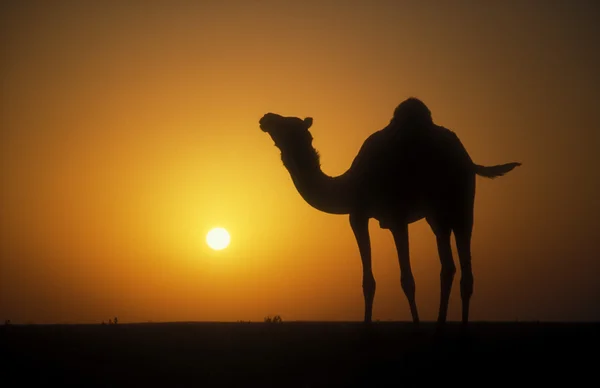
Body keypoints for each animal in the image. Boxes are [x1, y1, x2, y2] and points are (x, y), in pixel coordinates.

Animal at [258, 97, 520, 324]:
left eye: (286, 124)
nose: (265, 117)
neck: (350, 185)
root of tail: (467, 159)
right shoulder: (363, 216)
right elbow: (370, 282)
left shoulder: (391, 217)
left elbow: (405, 280)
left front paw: (414, 327)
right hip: (439, 214)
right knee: (450, 267)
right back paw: (441, 325)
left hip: (460, 207)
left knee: (462, 268)